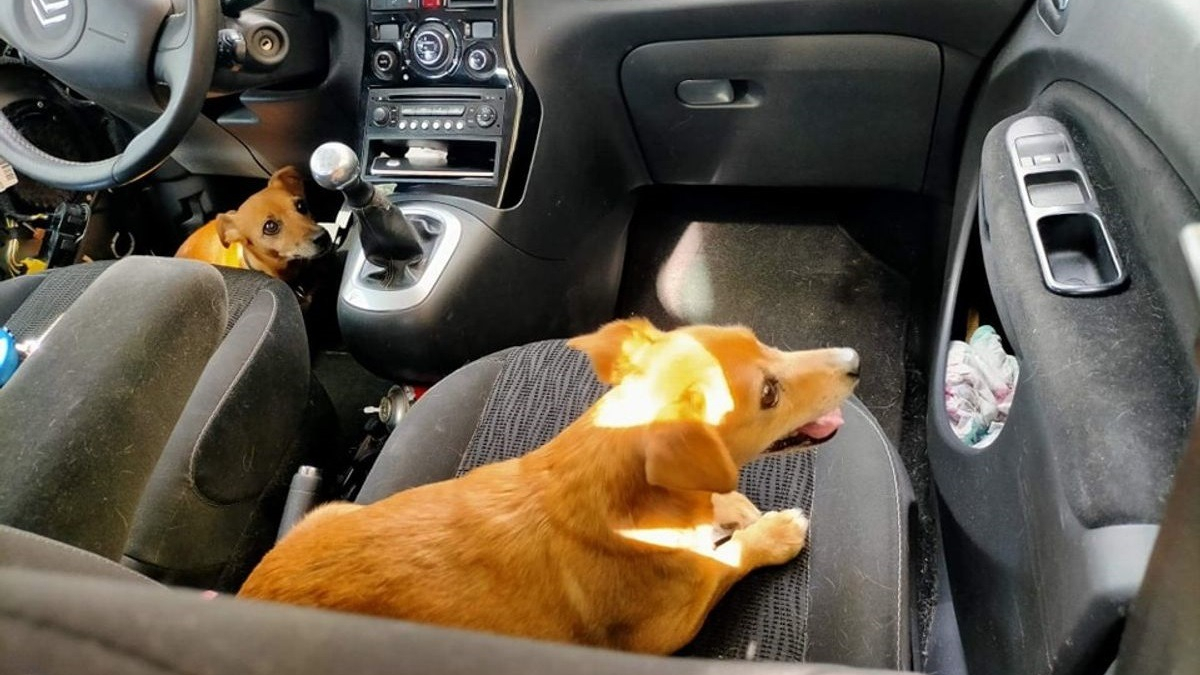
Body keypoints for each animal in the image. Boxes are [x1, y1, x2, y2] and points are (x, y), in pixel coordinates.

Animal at [241, 319, 864, 653]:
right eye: (768, 394)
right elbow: (729, 559)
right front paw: (774, 532)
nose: (855, 358)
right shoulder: (667, 630)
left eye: (763, 342)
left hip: (334, 510)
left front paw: (730, 504)